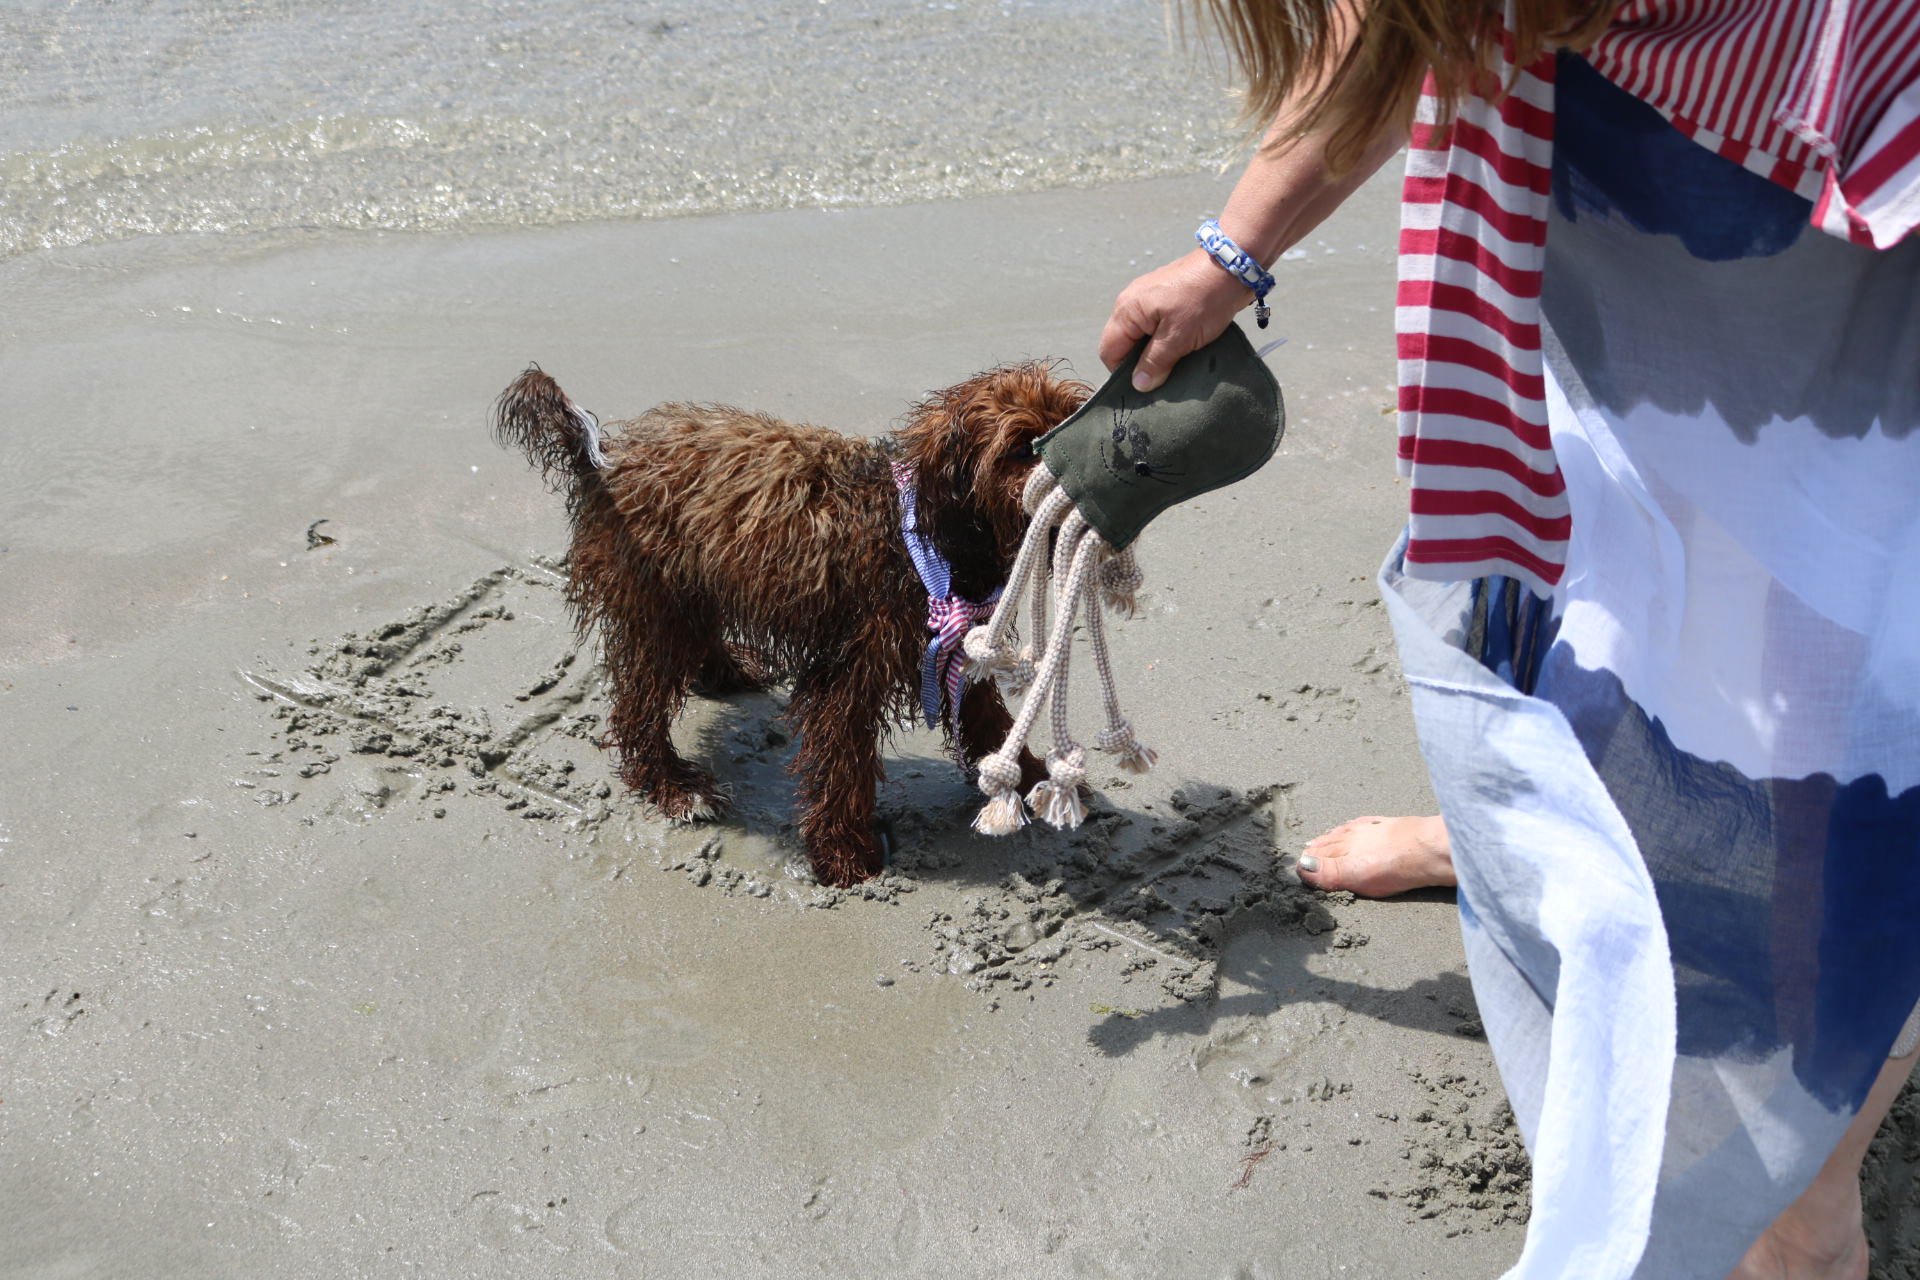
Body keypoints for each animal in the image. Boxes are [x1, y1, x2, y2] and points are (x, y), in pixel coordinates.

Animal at [487, 358, 1090, 882]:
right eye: (1021, 447)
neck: (931, 533)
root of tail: (603, 461)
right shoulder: (851, 669)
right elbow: (842, 761)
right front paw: (844, 853)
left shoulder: (953, 645)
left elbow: (988, 719)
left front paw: (1029, 779)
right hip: (658, 603)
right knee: (638, 708)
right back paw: (675, 787)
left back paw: (728, 673)